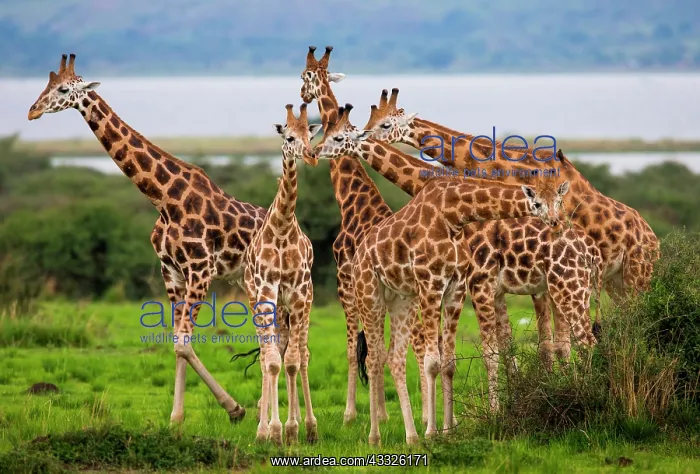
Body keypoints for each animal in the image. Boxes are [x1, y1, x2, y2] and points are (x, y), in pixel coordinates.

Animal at [27, 53, 267, 424]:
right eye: (45, 84)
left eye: (64, 89)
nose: (32, 111)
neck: (165, 201)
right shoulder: (171, 272)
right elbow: (178, 344)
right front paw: (176, 419)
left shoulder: (200, 270)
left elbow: (183, 342)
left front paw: (234, 409)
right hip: (247, 280)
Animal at [300, 45, 428, 424]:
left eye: (305, 77)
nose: (302, 95)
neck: (353, 202)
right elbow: (376, 350)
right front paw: (382, 414)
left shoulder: (345, 283)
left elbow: (355, 349)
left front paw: (351, 414)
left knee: (421, 346)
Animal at [313, 105, 574, 445]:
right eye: (538, 201)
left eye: (558, 199)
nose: (315, 150)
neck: (454, 213)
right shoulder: (441, 286)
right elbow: (441, 359)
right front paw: (436, 428)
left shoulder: (459, 288)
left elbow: (455, 360)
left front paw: (450, 427)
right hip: (369, 295)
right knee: (374, 356)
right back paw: (376, 435)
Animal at [364, 87, 659, 366]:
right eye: (370, 119)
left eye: (385, 124)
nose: (363, 135)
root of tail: (654, 240)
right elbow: (535, 344)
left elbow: (550, 345)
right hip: (614, 283)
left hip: (636, 276)